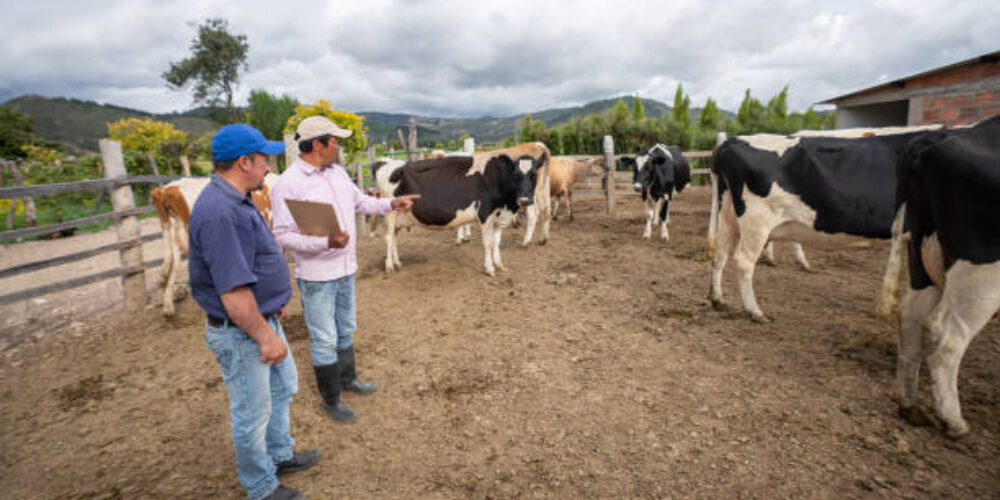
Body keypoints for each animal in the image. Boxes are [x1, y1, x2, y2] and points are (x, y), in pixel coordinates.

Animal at [374, 153, 548, 278]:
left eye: (534, 175)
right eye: (516, 175)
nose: (525, 200)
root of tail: (387, 163)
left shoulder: (499, 217)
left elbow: (496, 242)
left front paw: (499, 265)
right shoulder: (485, 214)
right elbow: (488, 243)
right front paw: (489, 268)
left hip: (400, 215)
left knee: (394, 237)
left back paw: (397, 263)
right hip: (390, 211)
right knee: (389, 237)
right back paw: (389, 266)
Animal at [708, 126, 932, 320]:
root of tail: (731, 142)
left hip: (729, 214)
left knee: (721, 253)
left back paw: (718, 300)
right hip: (757, 221)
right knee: (743, 261)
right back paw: (755, 311)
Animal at [896, 115, 996, 436]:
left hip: (921, 256)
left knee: (911, 315)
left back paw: (911, 405)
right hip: (983, 272)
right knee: (948, 337)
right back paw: (952, 420)